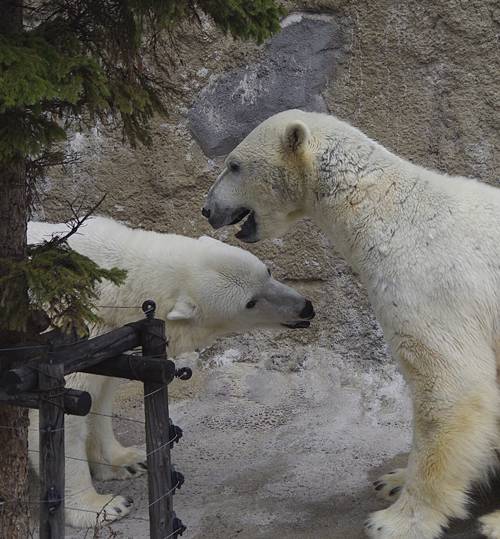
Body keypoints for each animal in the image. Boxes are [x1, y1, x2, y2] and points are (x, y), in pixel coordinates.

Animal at [27, 216, 314, 528]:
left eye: (268, 271)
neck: (109, 284)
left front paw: (128, 461)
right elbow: (62, 417)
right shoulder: (68, 331)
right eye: (250, 303)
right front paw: (103, 506)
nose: (305, 308)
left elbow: (99, 397)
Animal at [202, 109, 500, 539]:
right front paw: (393, 481)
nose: (207, 210)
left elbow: (451, 383)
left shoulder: (431, 283)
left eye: (234, 165)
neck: (388, 211)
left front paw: (397, 521)